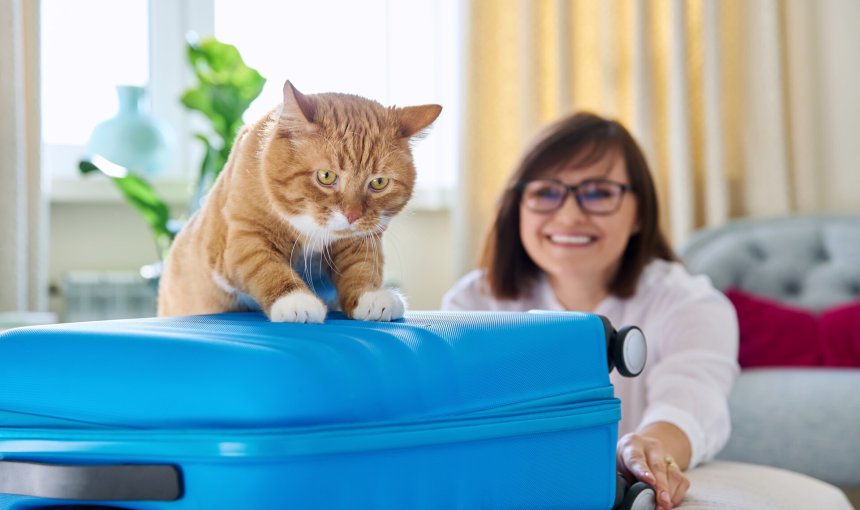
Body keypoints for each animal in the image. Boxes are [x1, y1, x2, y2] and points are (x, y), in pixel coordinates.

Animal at [158, 80, 440, 322]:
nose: (353, 215)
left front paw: (370, 296)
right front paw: (295, 301)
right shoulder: (244, 238)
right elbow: (267, 267)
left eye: (379, 182)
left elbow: (362, 266)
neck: (312, 229)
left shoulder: (360, 240)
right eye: (326, 176)